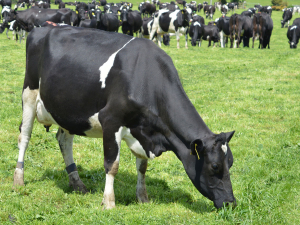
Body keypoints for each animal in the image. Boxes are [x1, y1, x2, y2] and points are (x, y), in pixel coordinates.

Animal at [13, 25, 237, 210]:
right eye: (215, 166)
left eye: (231, 162)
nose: (230, 203)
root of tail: (42, 28)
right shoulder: (111, 121)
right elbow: (112, 165)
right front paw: (109, 202)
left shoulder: (141, 131)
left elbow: (143, 167)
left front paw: (143, 197)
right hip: (29, 94)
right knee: (24, 137)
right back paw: (18, 179)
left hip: (67, 109)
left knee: (64, 140)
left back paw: (77, 183)